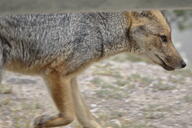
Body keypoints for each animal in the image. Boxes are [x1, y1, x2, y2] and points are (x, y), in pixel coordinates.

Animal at [0, 10, 186, 128]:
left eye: (169, 37)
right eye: (163, 38)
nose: (184, 64)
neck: (99, 30)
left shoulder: (70, 78)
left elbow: (87, 119)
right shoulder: (55, 74)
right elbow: (69, 115)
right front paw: (42, 121)